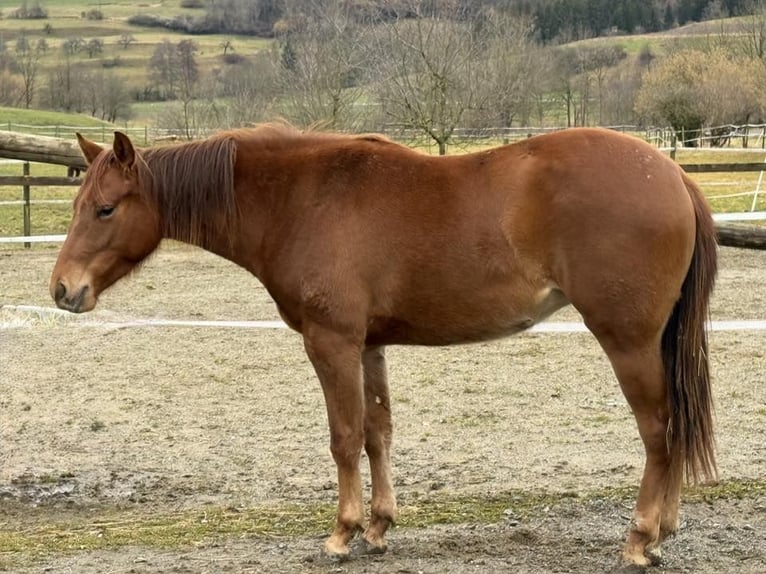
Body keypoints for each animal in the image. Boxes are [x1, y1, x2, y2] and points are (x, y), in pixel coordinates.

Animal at [50, 124, 717, 568]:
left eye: (105, 209)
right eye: (79, 204)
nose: (63, 290)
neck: (301, 197)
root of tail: (672, 174)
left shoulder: (332, 343)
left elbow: (344, 437)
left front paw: (342, 534)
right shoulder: (369, 346)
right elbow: (377, 432)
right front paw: (378, 527)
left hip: (628, 341)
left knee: (658, 430)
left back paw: (641, 539)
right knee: (675, 427)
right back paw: (668, 528)